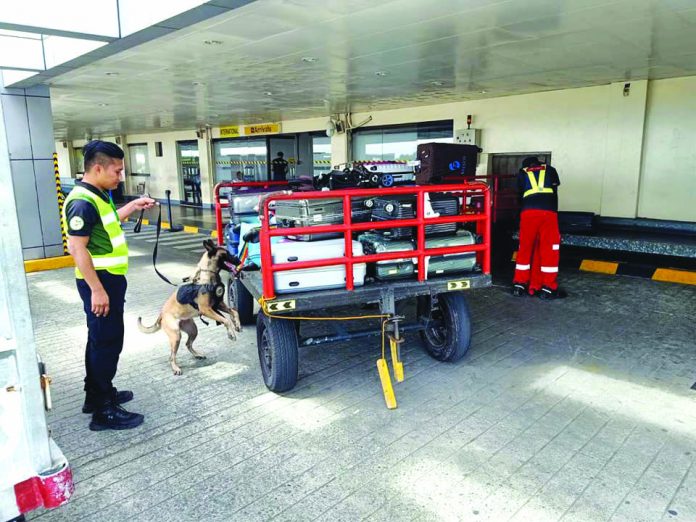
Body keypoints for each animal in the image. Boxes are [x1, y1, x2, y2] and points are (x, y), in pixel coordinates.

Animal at [137, 240, 243, 374]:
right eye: (226, 253)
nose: (239, 260)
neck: (207, 275)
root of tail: (161, 314)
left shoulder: (218, 304)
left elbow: (234, 311)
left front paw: (237, 324)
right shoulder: (207, 309)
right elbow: (225, 319)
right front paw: (231, 333)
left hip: (193, 330)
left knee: (188, 344)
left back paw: (197, 355)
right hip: (176, 335)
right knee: (171, 356)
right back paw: (175, 368)